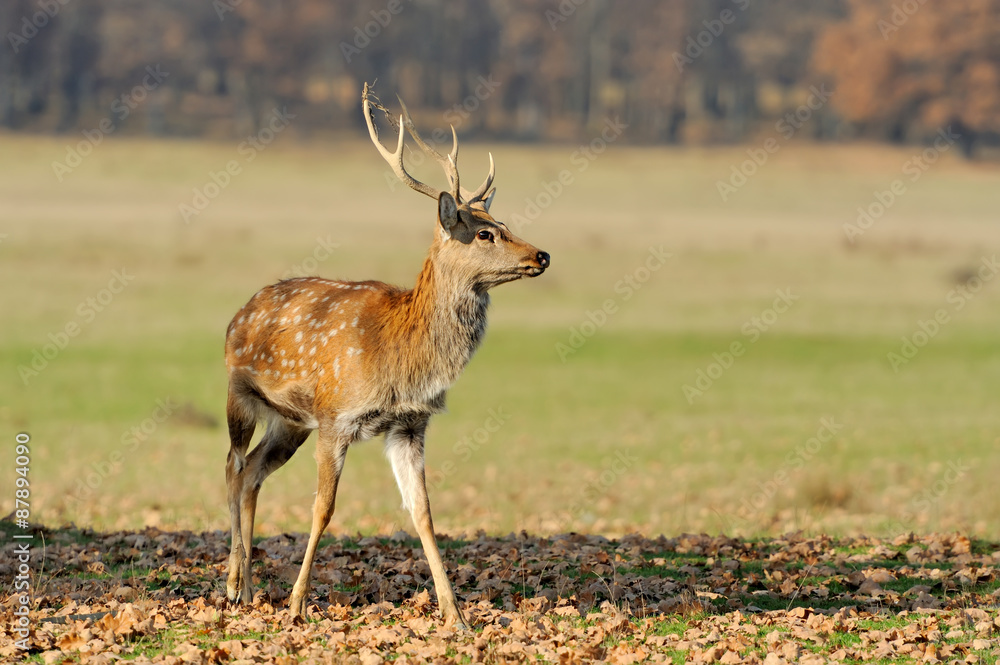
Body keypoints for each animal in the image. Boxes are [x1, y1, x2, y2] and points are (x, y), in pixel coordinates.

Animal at [223, 84, 552, 628]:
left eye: (503, 222)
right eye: (484, 233)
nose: (541, 255)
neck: (401, 359)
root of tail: (239, 314)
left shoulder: (409, 425)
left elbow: (423, 512)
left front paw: (455, 615)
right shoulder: (336, 416)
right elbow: (323, 508)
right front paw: (297, 605)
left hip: (290, 421)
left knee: (251, 473)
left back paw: (248, 590)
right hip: (239, 391)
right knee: (232, 467)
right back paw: (231, 584)